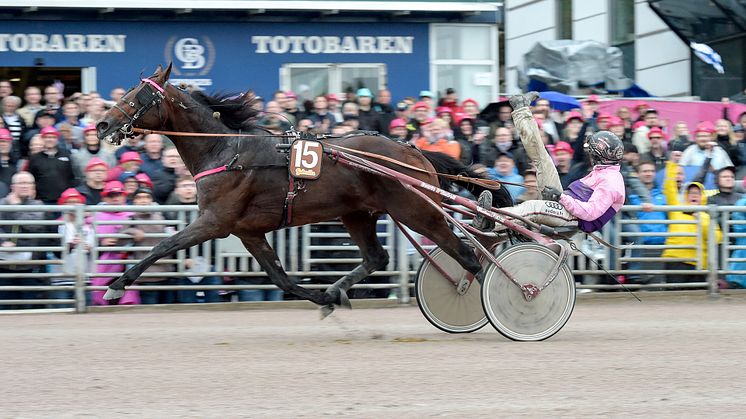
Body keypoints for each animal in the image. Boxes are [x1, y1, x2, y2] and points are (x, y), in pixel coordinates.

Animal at [94, 64, 512, 314]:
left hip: (417, 211)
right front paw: (324, 296)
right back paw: (339, 289)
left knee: (468, 255)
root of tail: (413, 150)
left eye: (136, 96)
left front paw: (116, 286)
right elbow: (282, 279)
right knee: (378, 258)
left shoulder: (214, 221)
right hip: (357, 213)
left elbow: (162, 246)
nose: (101, 125)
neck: (225, 151)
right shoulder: (248, 231)